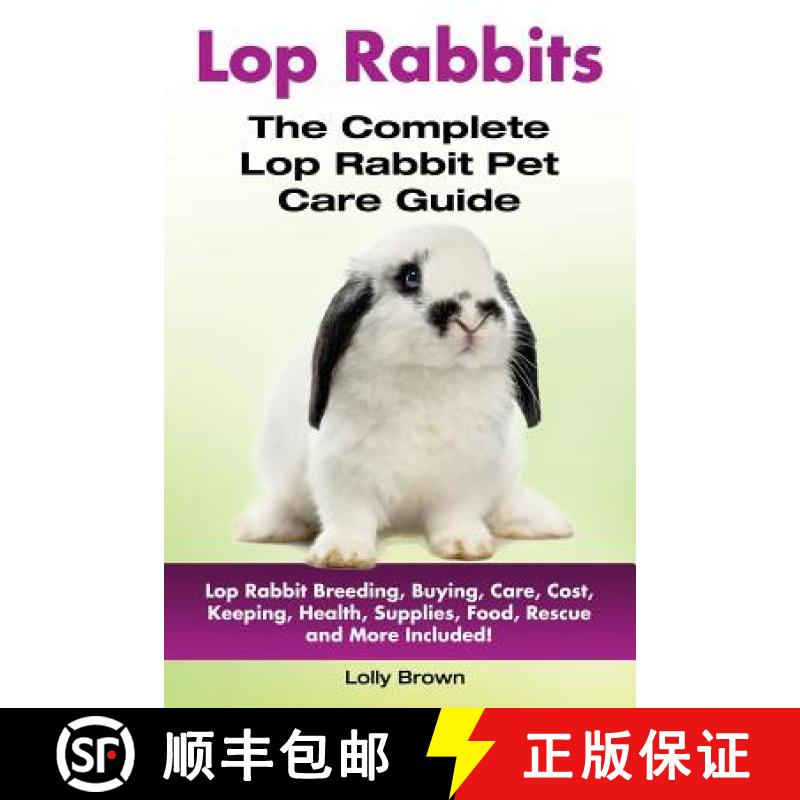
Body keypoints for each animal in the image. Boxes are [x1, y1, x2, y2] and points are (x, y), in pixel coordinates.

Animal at [236, 224, 573, 567]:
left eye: (492, 276)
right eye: (410, 277)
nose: (473, 317)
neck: (430, 376)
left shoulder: (466, 473)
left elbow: (457, 513)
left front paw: (466, 545)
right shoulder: (344, 467)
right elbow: (349, 514)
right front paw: (341, 554)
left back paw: (545, 522)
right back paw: (262, 527)